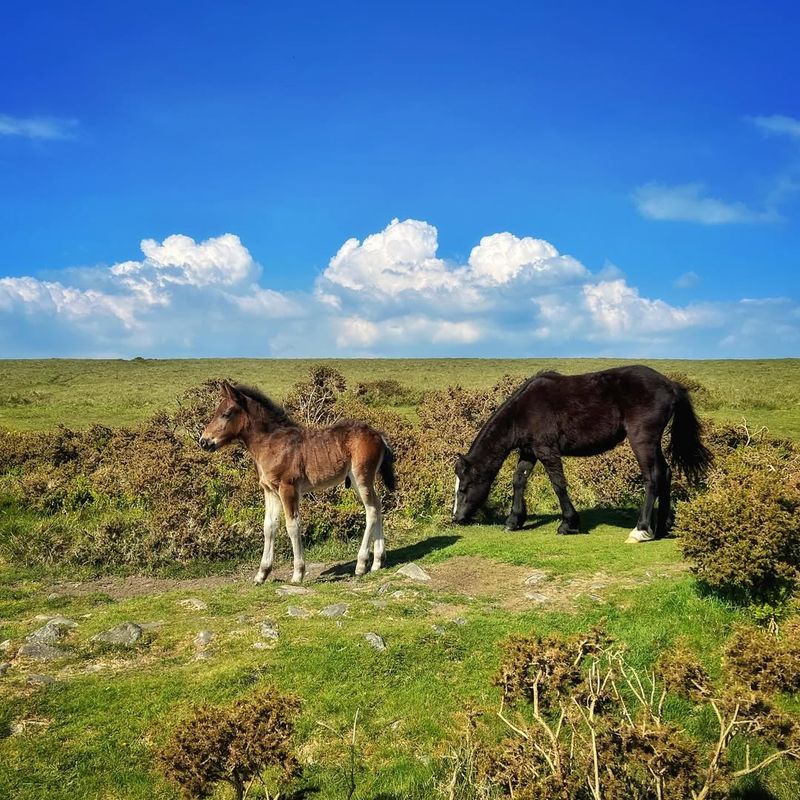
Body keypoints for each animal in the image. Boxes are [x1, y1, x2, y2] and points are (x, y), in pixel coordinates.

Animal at [197, 380, 390, 580]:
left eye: (226, 414)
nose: (204, 441)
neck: (272, 444)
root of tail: (379, 435)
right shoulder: (270, 490)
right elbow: (269, 527)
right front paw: (262, 574)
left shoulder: (287, 488)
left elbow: (292, 525)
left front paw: (298, 573)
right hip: (358, 482)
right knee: (377, 506)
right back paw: (377, 561)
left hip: (361, 478)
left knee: (371, 510)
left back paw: (361, 564)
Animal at [454, 364, 708, 540]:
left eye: (464, 488)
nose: (456, 517)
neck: (523, 411)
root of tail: (671, 385)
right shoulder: (529, 452)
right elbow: (518, 481)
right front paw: (514, 520)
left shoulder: (547, 451)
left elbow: (558, 485)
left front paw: (569, 523)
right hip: (653, 444)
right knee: (665, 473)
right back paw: (662, 528)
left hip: (642, 441)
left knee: (652, 477)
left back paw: (641, 530)